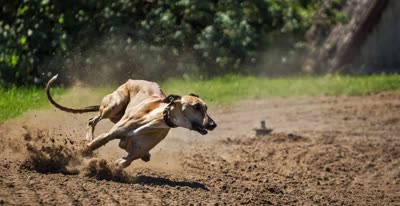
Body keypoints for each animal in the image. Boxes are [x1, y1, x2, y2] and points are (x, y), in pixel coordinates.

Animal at [45, 75, 217, 168]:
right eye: (196, 106)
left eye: (206, 108)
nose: (213, 125)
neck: (155, 119)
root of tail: (132, 80)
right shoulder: (110, 134)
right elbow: (93, 145)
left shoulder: (135, 152)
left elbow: (124, 161)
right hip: (114, 105)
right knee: (92, 120)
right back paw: (89, 137)